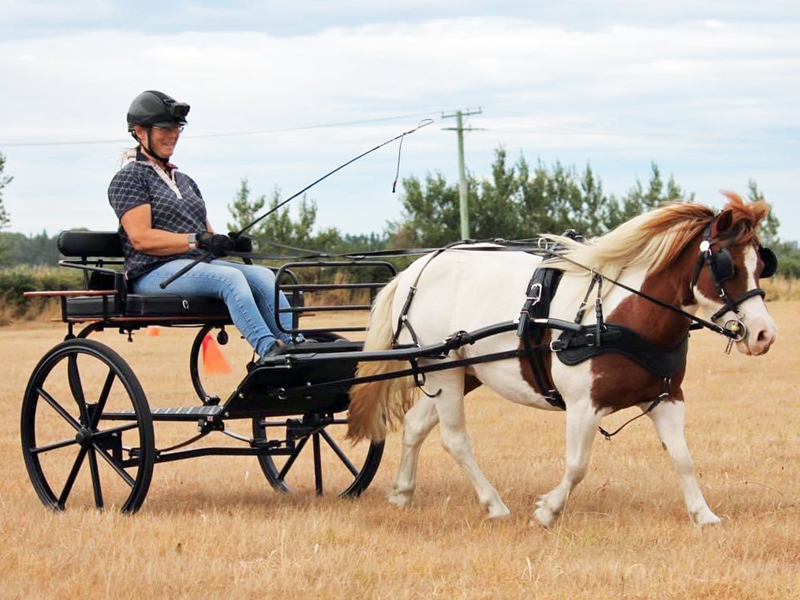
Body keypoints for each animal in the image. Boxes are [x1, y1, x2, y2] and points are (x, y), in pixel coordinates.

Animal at [346, 191, 780, 524]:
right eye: (726, 265)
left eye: (762, 263)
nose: (764, 334)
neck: (620, 316)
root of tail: (418, 268)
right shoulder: (583, 405)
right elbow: (577, 465)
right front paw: (548, 510)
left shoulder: (668, 399)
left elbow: (683, 458)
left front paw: (703, 515)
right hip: (442, 371)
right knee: (454, 439)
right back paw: (494, 504)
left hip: (460, 370)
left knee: (416, 425)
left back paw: (402, 493)